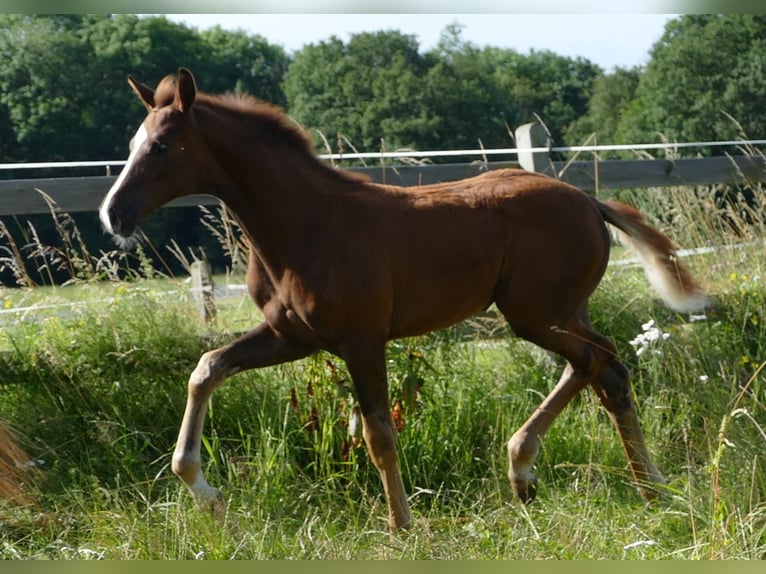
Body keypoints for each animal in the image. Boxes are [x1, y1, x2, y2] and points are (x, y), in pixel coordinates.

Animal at [97, 70, 708, 532]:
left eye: (160, 146)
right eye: (129, 146)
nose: (113, 215)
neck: (305, 226)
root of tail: (588, 199)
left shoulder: (362, 340)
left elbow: (379, 435)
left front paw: (402, 525)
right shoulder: (291, 337)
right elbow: (206, 368)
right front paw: (205, 493)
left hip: (534, 314)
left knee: (597, 361)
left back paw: (538, 471)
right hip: (559, 312)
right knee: (605, 371)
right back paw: (631, 485)